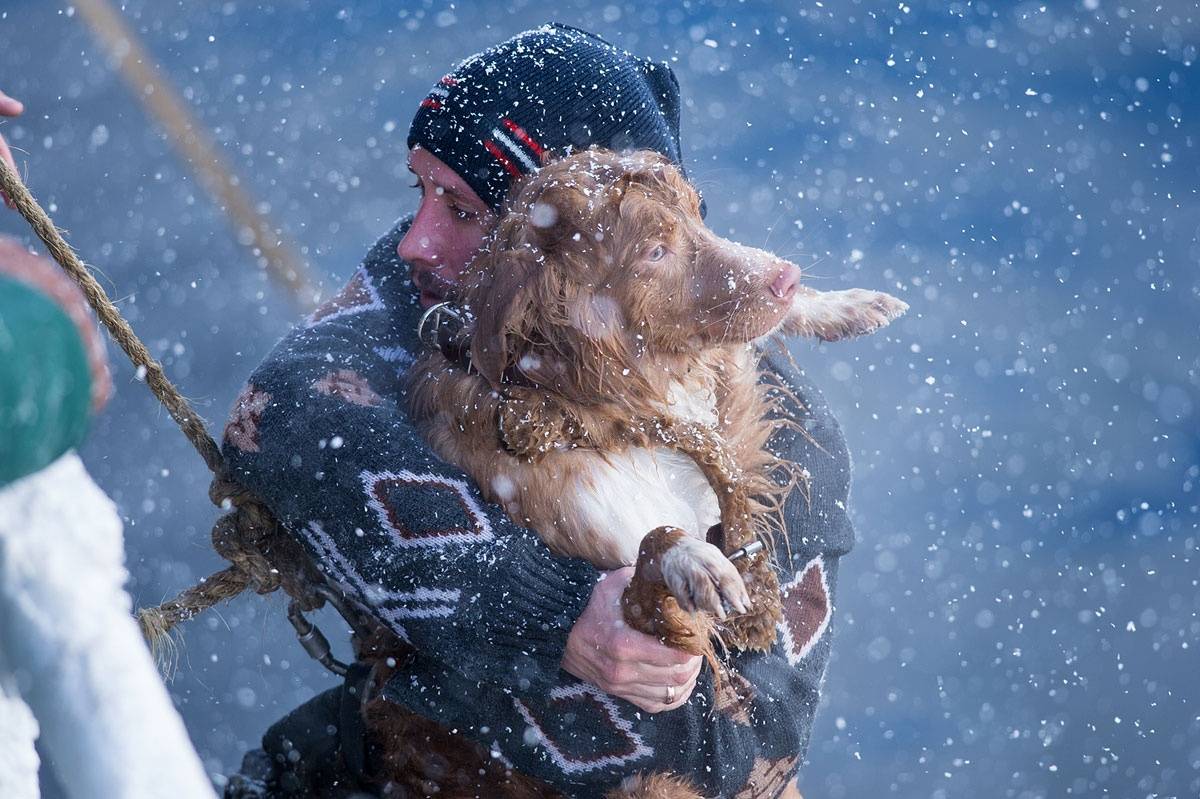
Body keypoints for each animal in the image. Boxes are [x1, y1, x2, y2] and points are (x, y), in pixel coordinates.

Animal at [369, 149, 902, 796]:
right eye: (654, 251)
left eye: (698, 215)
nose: (787, 276)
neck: (596, 411)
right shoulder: (655, 627)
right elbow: (655, 549)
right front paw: (691, 561)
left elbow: (738, 362)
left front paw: (844, 304)